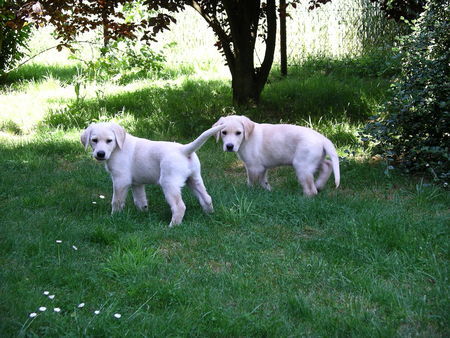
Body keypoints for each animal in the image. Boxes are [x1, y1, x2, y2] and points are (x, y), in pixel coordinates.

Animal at [81, 122, 225, 227]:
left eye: (109, 141)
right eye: (94, 140)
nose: (100, 154)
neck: (118, 147)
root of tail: (184, 149)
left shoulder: (120, 180)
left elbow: (116, 201)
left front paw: (114, 217)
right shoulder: (137, 184)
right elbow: (140, 200)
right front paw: (143, 213)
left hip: (169, 183)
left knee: (179, 206)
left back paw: (172, 226)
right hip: (194, 179)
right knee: (207, 198)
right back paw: (209, 215)